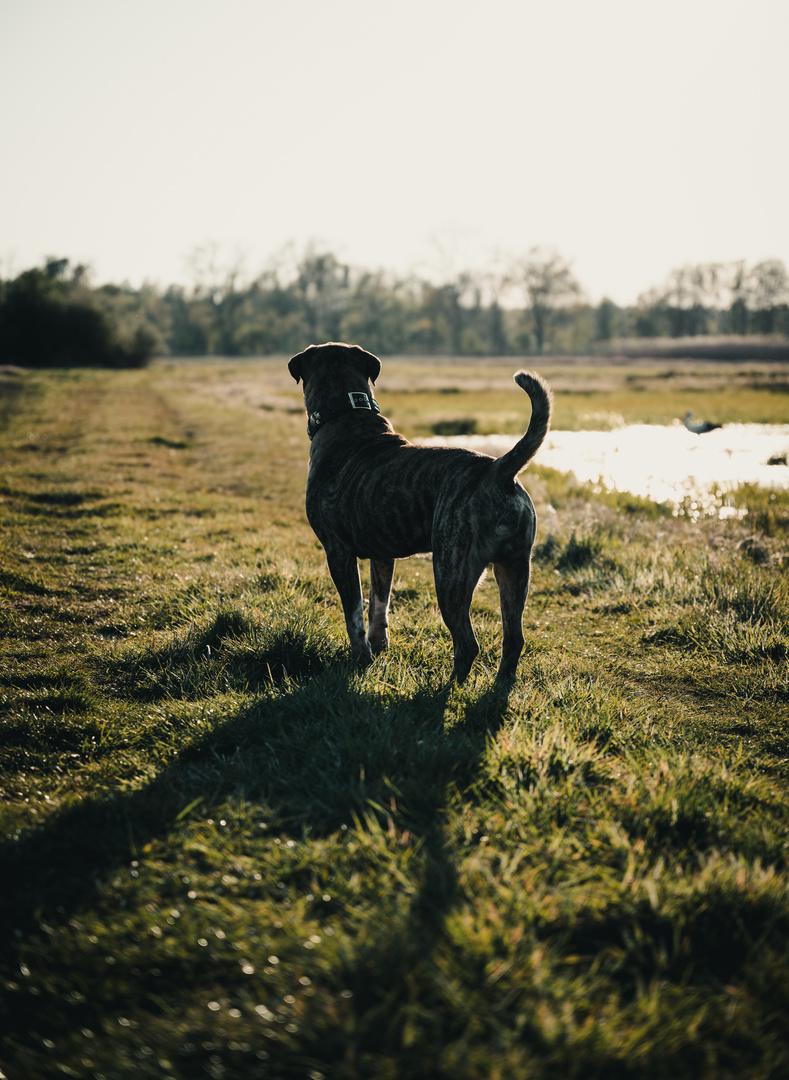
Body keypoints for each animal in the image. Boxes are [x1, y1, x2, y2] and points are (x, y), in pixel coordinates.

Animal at [287, 341, 552, 682]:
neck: (347, 412)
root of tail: (497, 470)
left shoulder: (338, 552)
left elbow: (353, 612)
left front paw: (360, 658)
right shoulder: (382, 555)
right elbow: (378, 604)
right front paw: (378, 646)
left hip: (451, 574)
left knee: (467, 644)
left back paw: (449, 687)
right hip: (514, 568)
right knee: (514, 638)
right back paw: (500, 685)